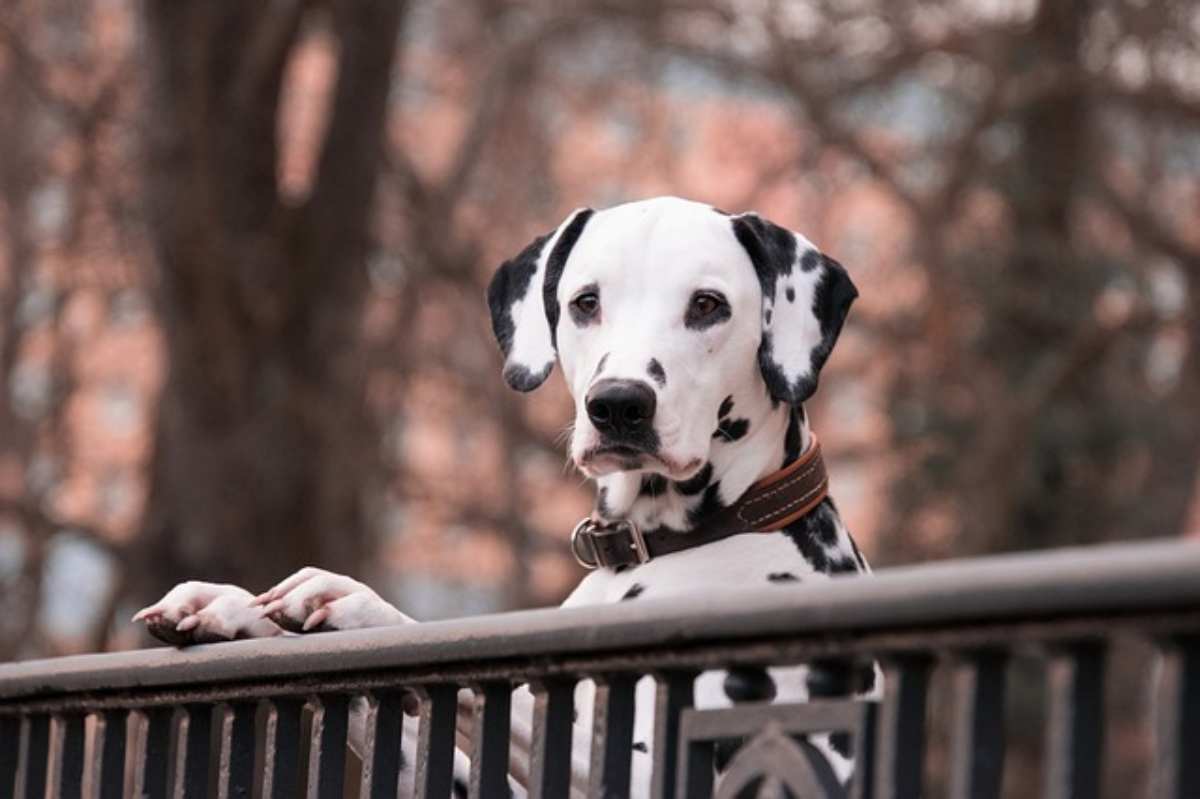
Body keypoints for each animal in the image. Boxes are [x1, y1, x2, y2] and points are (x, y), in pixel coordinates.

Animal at [136, 195, 868, 791]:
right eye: (585, 301)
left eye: (708, 305)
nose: (618, 405)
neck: (658, 546)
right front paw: (234, 608)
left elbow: (503, 690)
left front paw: (358, 604)